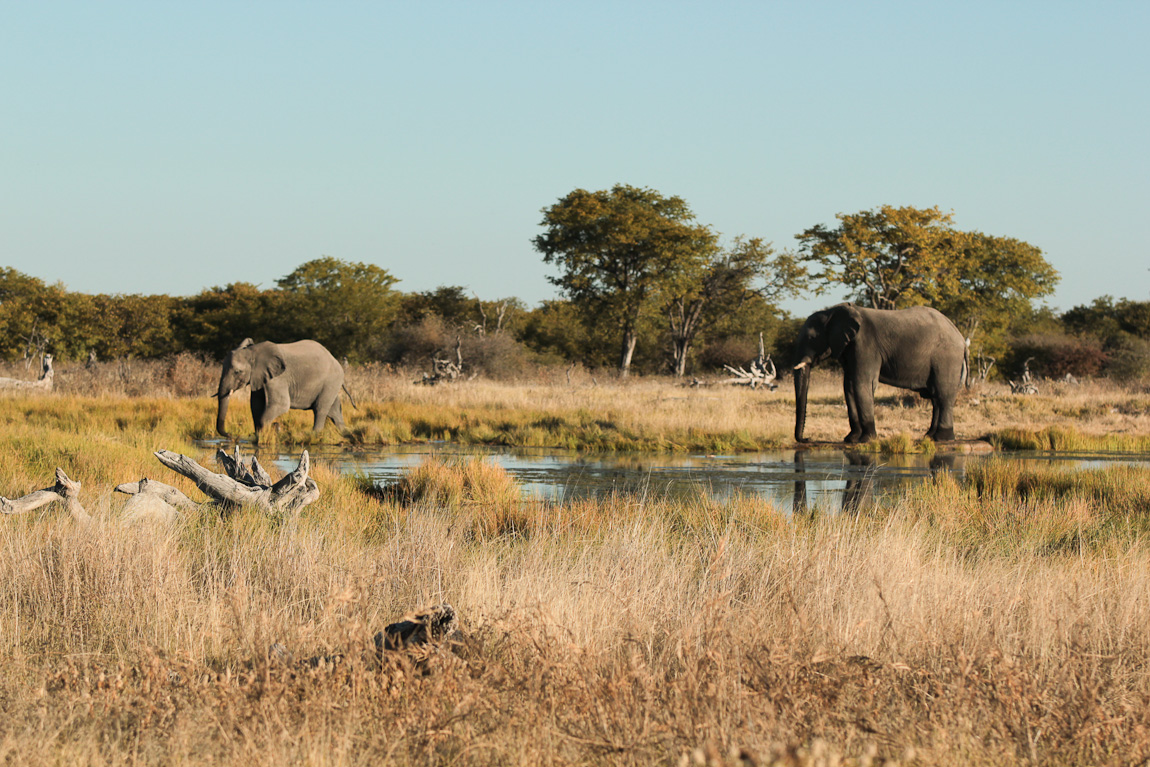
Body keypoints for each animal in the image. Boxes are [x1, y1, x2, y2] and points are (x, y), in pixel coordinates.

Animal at [215, 338, 355, 442]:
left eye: (237, 372)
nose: (232, 436)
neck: (253, 352)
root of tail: (334, 359)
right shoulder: (259, 377)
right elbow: (255, 405)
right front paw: (260, 435)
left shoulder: (278, 378)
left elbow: (280, 405)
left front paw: (268, 433)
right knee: (334, 411)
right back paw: (344, 434)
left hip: (331, 381)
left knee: (320, 409)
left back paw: (314, 435)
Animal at [792, 304, 967, 444]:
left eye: (812, 337)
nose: (807, 439)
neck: (832, 311)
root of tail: (961, 337)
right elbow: (848, 386)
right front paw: (850, 439)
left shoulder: (865, 345)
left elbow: (862, 383)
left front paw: (866, 440)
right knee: (936, 398)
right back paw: (929, 437)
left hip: (947, 357)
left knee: (943, 394)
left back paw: (942, 438)